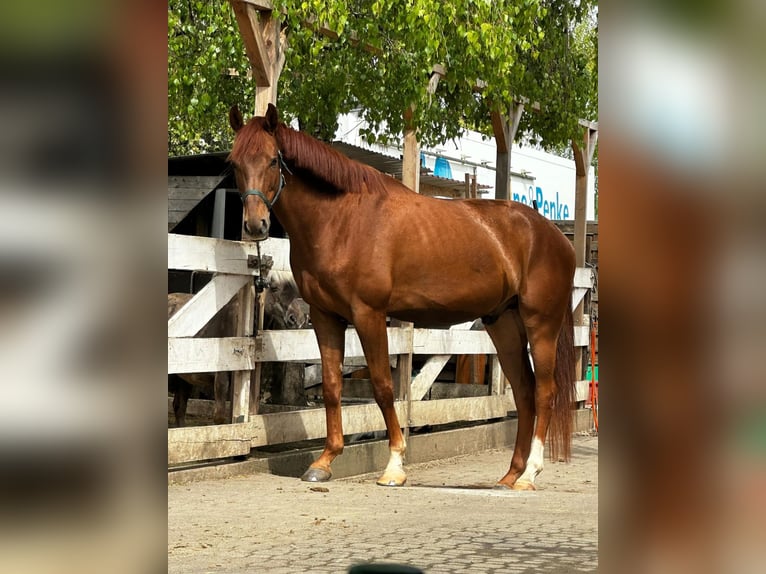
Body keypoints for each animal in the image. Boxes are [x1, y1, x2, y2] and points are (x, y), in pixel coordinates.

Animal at [228, 104, 576, 490]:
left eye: (274, 160)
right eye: (234, 163)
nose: (255, 225)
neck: (341, 220)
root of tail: (555, 236)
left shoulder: (368, 314)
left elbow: (383, 386)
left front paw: (394, 465)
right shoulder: (323, 315)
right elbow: (332, 386)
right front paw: (324, 461)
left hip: (541, 324)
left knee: (544, 392)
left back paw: (530, 473)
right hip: (503, 323)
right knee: (524, 392)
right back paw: (510, 475)